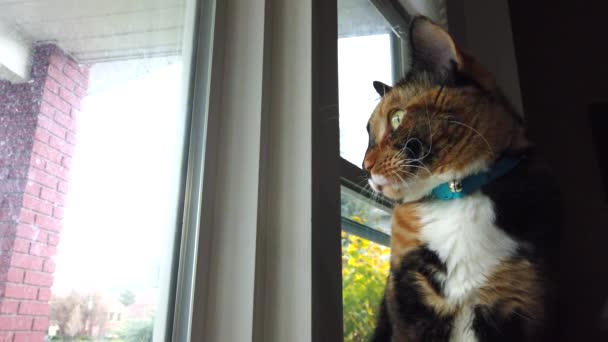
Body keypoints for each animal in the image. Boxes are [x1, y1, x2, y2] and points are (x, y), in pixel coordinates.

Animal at [360, 16, 556, 342]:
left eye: (397, 118)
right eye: (369, 134)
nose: (365, 165)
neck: (456, 194)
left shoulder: (519, 297)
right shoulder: (405, 295)